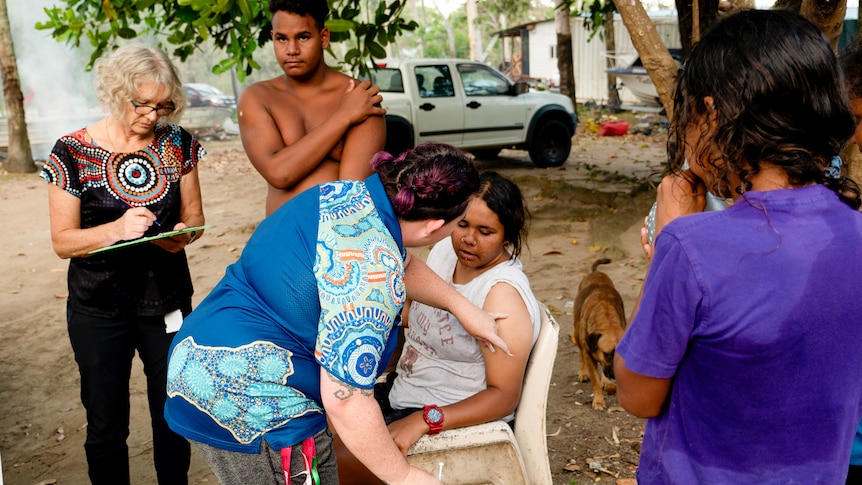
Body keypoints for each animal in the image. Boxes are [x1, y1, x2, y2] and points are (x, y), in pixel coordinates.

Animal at [572, 258, 628, 408]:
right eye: (608, 354)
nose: (616, 377)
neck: (606, 319)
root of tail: (594, 272)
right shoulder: (590, 355)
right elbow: (595, 381)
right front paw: (598, 400)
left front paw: (607, 382)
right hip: (577, 333)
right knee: (580, 353)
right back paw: (583, 373)